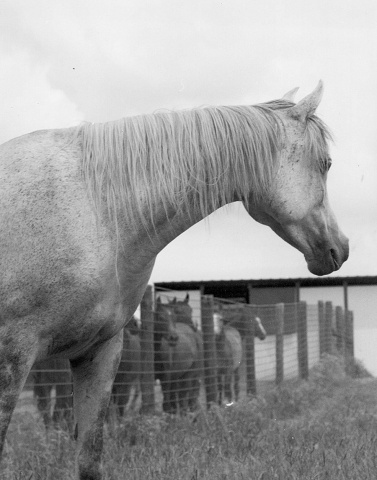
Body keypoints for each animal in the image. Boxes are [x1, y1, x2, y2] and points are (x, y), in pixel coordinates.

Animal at [0, 80, 346, 478]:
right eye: (325, 164)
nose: (341, 248)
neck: (96, 214)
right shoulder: (13, 355)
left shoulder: (98, 353)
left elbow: (90, 458)